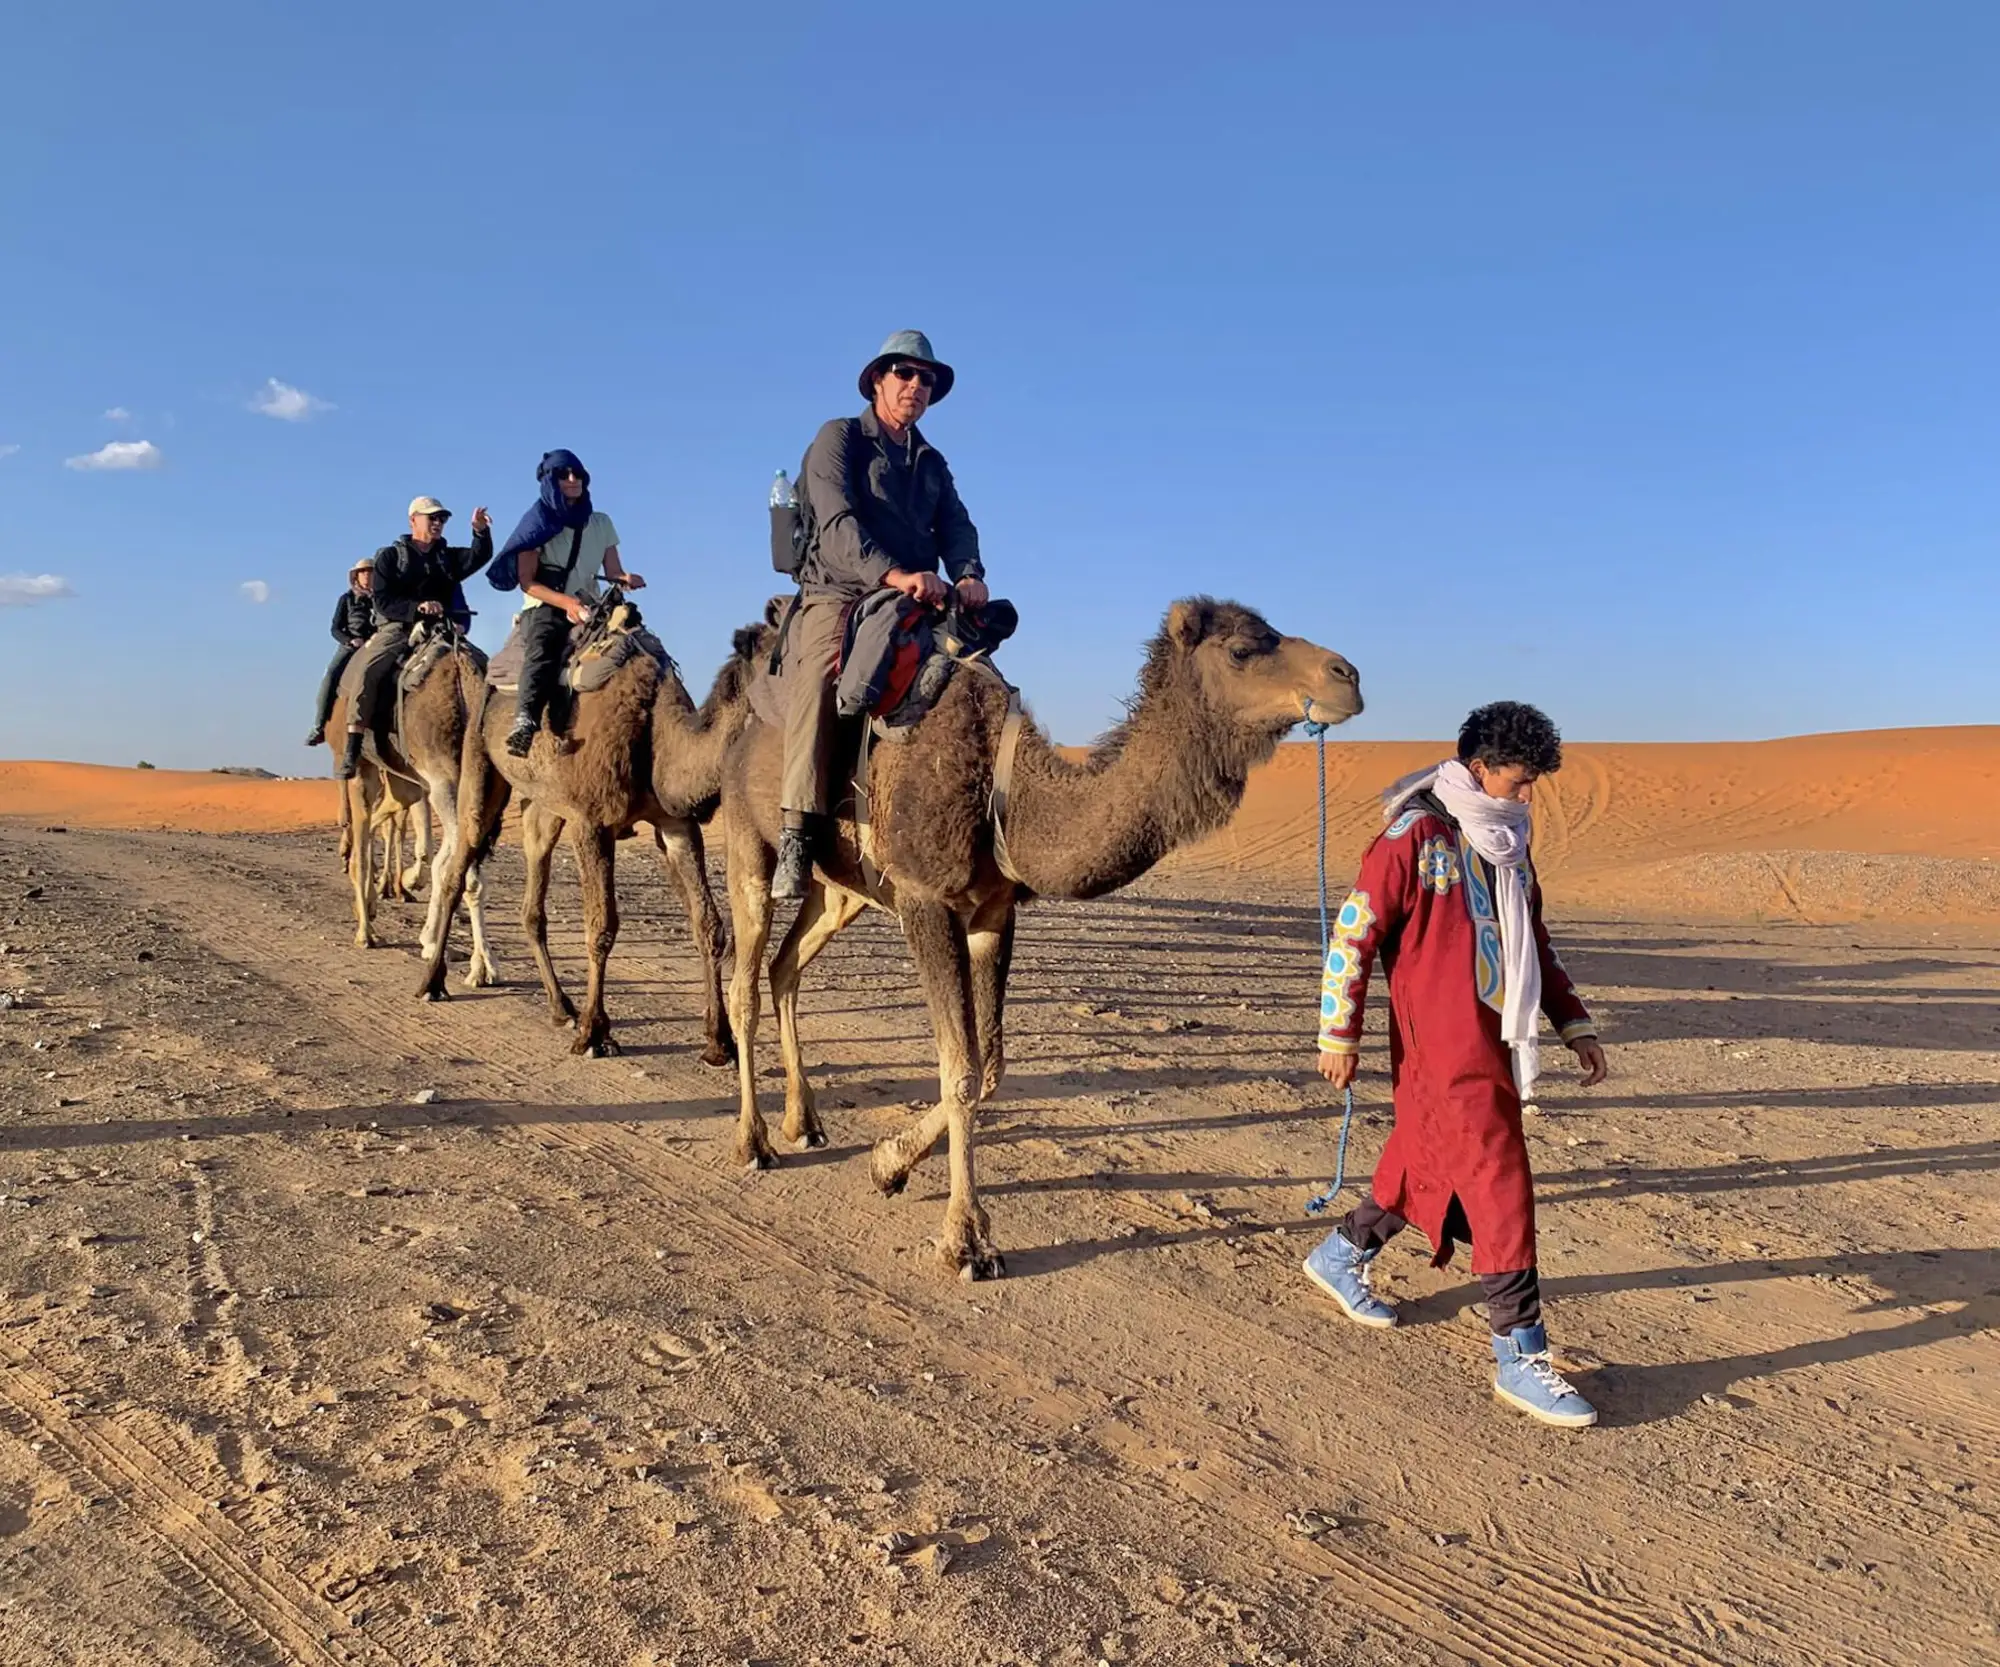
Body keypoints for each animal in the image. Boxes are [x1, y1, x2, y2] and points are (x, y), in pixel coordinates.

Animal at [418, 600, 761, 1063]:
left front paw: (719, 1042)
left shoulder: (677, 825)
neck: (656, 730)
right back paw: (433, 982)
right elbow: (601, 927)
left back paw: (560, 1006)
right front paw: (594, 1034)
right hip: (478, 764)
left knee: (532, 901)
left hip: (544, 807)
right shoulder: (593, 823)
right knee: (459, 865)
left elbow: (709, 924)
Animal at [720, 597, 1363, 1279]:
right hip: (749, 842)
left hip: (840, 890)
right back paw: (753, 1142)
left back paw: (804, 1121)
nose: (1347, 677)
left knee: (786, 968)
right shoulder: (926, 900)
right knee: (746, 983)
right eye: (1243, 649)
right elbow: (960, 1070)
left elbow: (991, 1066)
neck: (1005, 793)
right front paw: (966, 1241)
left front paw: (888, 1163)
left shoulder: (993, 913)